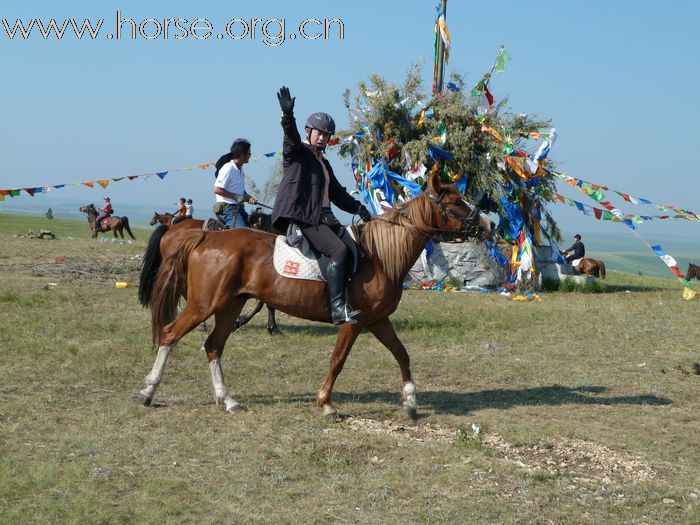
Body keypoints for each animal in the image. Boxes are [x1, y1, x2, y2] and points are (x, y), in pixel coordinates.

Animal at [137, 174, 494, 420]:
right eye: (456, 201)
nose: (490, 223)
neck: (379, 256)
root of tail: (205, 237)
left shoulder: (378, 320)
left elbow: (402, 355)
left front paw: (411, 401)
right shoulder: (354, 322)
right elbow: (338, 360)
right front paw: (326, 404)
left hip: (228, 305)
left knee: (213, 346)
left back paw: (228, 400)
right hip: (203, 305)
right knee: (170, 334)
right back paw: (148, 391)